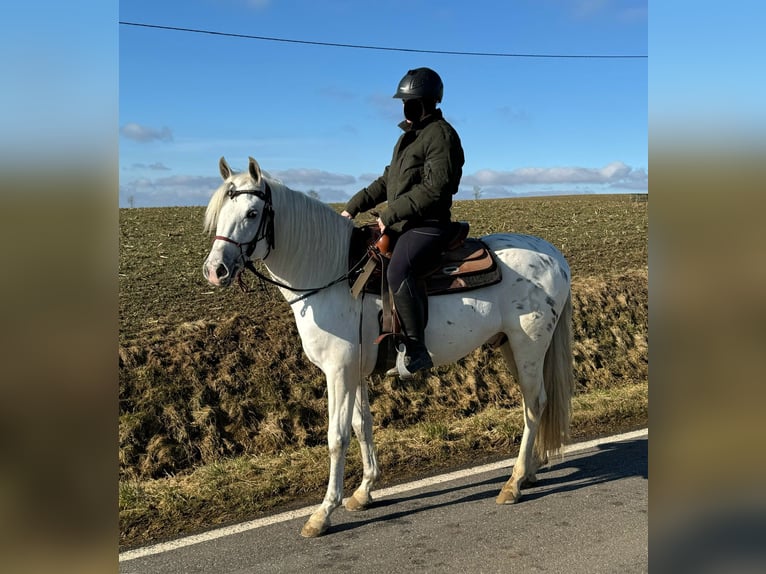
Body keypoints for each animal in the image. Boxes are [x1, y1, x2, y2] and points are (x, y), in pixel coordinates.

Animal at [201, 158, 572, 540]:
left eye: (252, 212)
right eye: (219, 212)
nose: (215, 271)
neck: (333, 274)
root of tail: (554, 257)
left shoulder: (338, 372)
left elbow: (337, 437)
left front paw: (323, 512)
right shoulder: (354, 372)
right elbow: (362, 426)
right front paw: (364, 491)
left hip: (529, 347)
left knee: (535, 405)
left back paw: (514, 482)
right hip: (511, 347)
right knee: (532, 404)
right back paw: (529, 472)